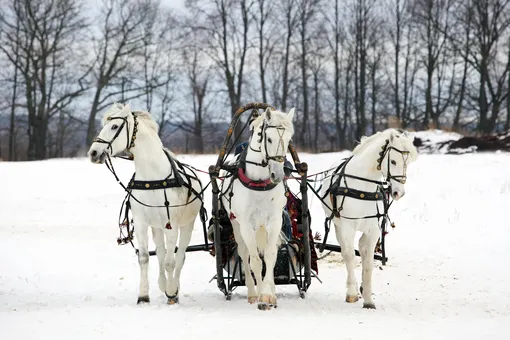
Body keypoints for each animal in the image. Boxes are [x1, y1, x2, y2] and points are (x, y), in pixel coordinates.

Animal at [87, 103, 203, 306]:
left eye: (114, 126)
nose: (93, 153)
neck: (153, 177)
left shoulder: (172, 224)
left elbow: (171, 261)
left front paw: (172, 292)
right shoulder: (142, 222)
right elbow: (145, 257)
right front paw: (143, 295)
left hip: (186, 225)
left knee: (179, 256)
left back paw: (174, 289)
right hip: (157, 227)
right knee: (161, 252)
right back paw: (163, 284)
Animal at [219, 107, 294, 310]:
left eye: (289, 140)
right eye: (268, 139)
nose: (278, 174)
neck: (259, 183)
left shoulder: (274, 221)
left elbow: (270, 255)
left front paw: (269, 295)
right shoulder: (246, 224)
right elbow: (255, 261)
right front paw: (261, 295)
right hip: (237, 225)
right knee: (245, 255)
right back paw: (253, 293)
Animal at [320, 129, 416, 310]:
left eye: (407, 163)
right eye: (393, 161)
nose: (399, 193)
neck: (362, 187)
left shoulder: (373, 229)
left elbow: (369, 262)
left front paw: (368, 300)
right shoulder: (347, 227)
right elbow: (350, 256)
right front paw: (352, 293)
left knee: (362, 249)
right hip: (338, 226)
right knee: (346, 252)